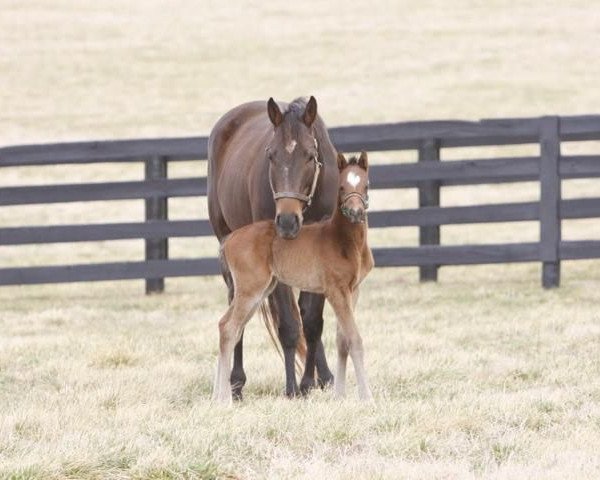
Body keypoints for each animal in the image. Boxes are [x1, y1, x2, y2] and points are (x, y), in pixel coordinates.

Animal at [206, 96, 338, 398]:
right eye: (271, 155)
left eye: (310, 155)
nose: (287, 221)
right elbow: (289, 324)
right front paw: (292, 388)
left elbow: (311, 321)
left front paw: (311, 381)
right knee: (236, 311)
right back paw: (236, 383)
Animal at [213, 152, 372, 404]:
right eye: (341, 187)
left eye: (366, 185)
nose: (356, 212)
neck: (344, 240)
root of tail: (229, 239)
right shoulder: (335, 290)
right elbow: (354, 339)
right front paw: (367, 398)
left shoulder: (353, 290)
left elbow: (342, 340)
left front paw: (339, 395)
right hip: (250, 290)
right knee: (229, 328)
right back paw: (224, 399)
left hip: (260, 291)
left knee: (226, 325)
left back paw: (216, 396)